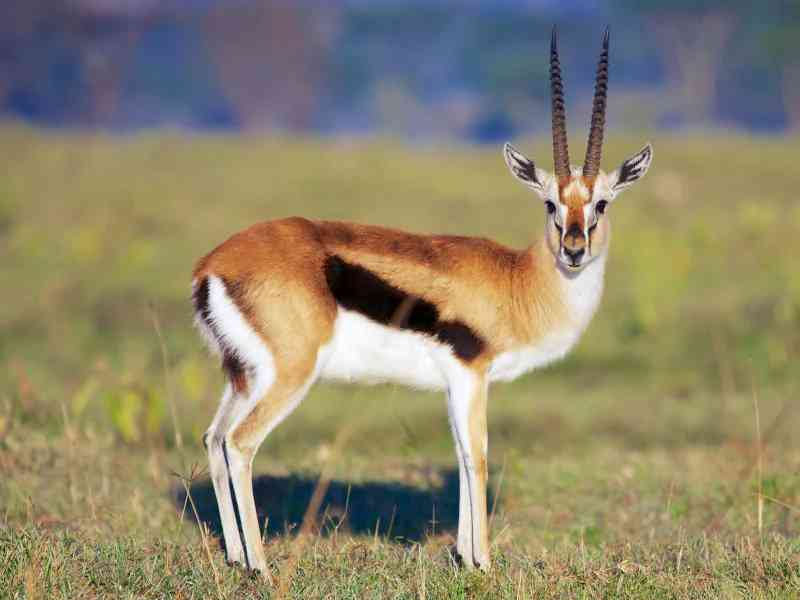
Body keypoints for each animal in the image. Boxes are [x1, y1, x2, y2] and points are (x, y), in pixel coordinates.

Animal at [192, 27, 652, 575]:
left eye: (601, 202)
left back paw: (235, 557)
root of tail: (213, 264)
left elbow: (460, 455)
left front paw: (464, 556)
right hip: (288, 375)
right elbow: (478, 455)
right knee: (241, 443)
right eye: (550, 203)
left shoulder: (456, 382)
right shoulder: (472, 373)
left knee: (215, 438)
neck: (517, 281)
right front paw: (484, 563)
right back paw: (261, 567)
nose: (574, 249)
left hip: (244, 376)